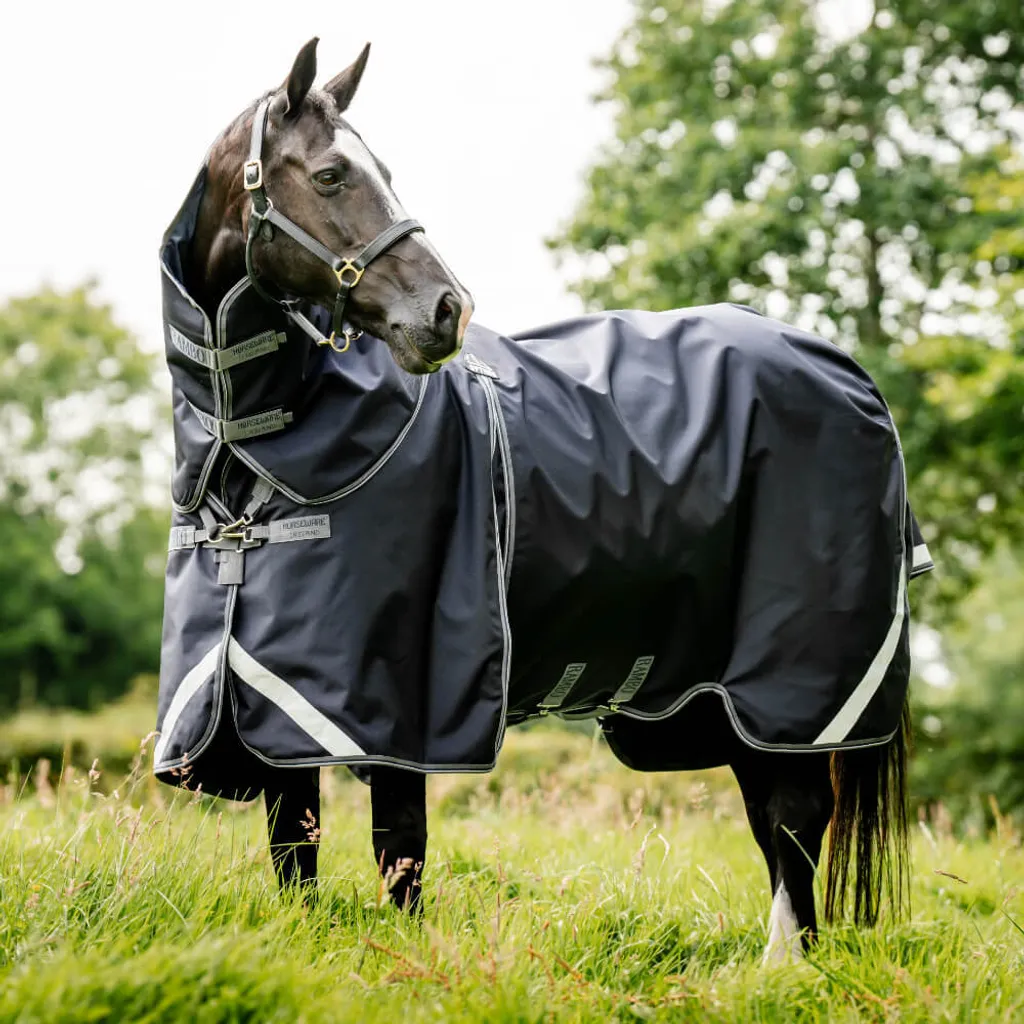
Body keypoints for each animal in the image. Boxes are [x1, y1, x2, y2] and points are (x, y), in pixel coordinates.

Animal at [155, 37, 931, 963]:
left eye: (381, 170)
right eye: (334, 173)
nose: (446, 310)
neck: (254, 447)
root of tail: (843, 368)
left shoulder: (404, 708)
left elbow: (400, 856)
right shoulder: (275, 706)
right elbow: (294, 849)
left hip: (793, 679)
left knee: (794, 819)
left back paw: (782, 971)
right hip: (734, 703)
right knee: (776, 820)